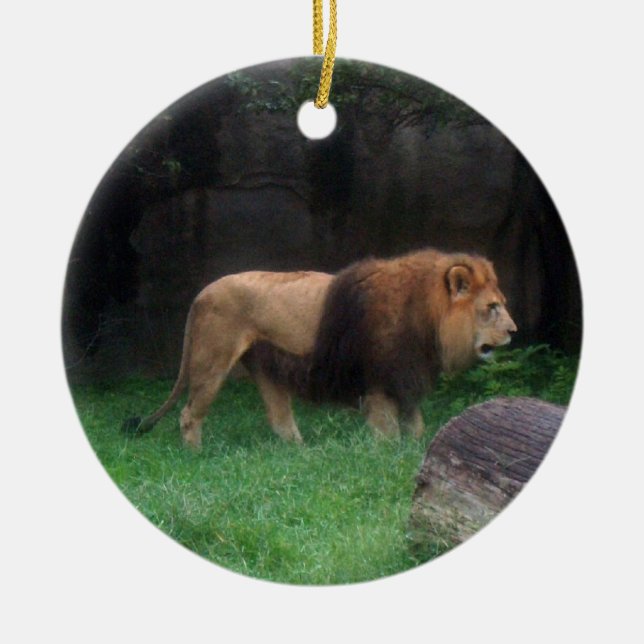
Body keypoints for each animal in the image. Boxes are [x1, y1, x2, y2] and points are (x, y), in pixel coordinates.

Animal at [122, 248, 517, 447]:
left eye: (501, 304)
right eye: (492, 308)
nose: (514, 331)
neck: (427, 317)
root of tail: (201, 293)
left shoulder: (405, 379)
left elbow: (417, 428)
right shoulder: (380, 382)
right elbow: (387, 434)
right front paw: (387, 458)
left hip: (265, 366)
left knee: (279, 418)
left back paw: (300, 453)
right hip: (212, 361)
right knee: (189, 415)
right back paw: (197, 456)